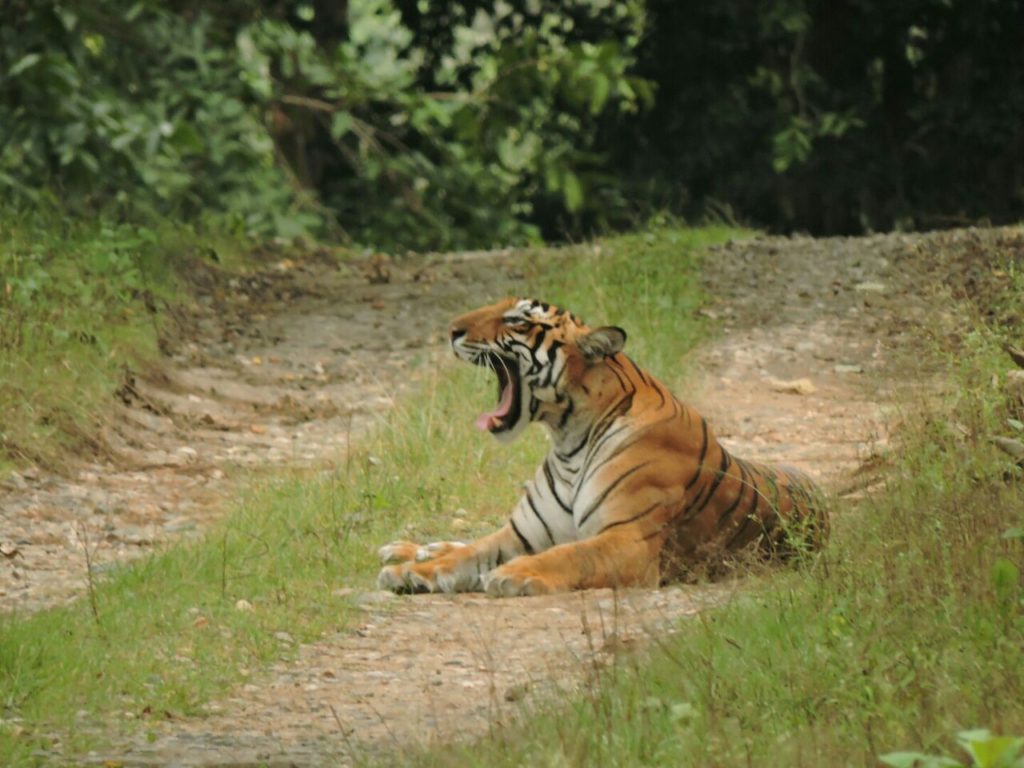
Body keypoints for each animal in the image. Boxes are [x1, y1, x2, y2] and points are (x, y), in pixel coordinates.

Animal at [380, 296, 827, 598]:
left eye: (517, 320)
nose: (452, 330)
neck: (568, 440)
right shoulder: (520, 534)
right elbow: (466, 555)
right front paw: (410, 573)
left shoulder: (629, 540)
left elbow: (569, 555)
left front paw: (514, 575)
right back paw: (408, 551)